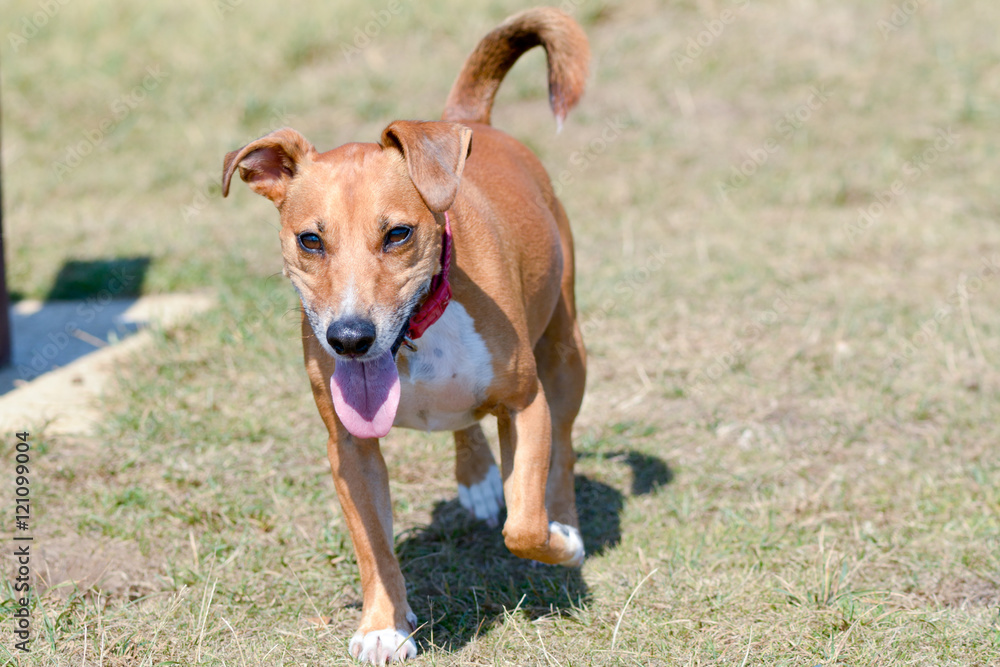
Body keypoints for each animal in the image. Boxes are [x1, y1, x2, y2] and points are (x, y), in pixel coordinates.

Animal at [223, 7, 588, 664]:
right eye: (310, 240)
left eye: (397, 234)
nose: (348, 337)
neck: (417, 334)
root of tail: (471, 123)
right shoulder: (348, 446)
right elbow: (374, 546)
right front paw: (384, 626)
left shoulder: (526, 403)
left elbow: (524, 524)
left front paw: (559, 542)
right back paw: (476, 477)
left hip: (564, 350)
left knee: (565, 451)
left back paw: (566, 523)